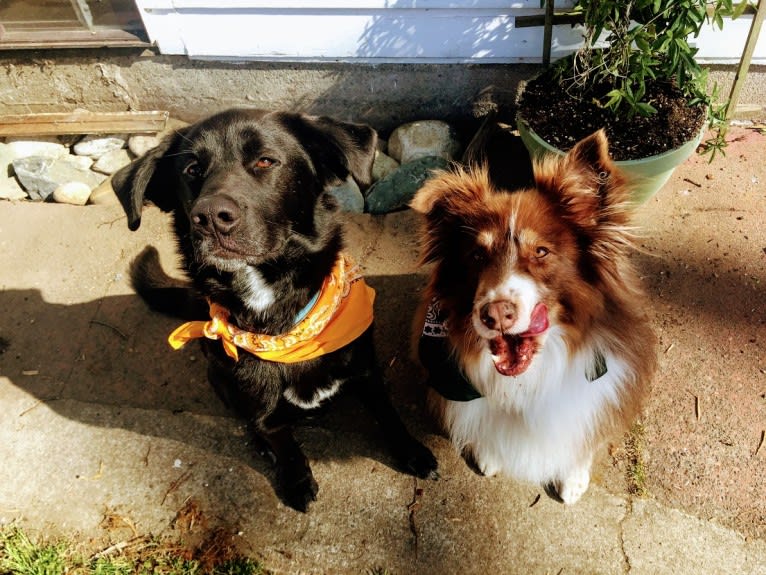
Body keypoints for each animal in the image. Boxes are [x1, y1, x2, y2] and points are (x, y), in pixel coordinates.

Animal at [112, 108, 438, 512]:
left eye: (266, 161)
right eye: (191, 169)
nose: (210, 217)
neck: (281, 322)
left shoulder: (367, 370)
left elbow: (389, 414)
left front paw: (412, 451)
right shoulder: (259, 404)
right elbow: (279, 438)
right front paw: (295, 477)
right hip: (217, 374)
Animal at [412, 130, 656, 504]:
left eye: (541, 251)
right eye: (477, 255)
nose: (495, 314)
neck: (529, 380)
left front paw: (572, 478)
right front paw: (487, 453)